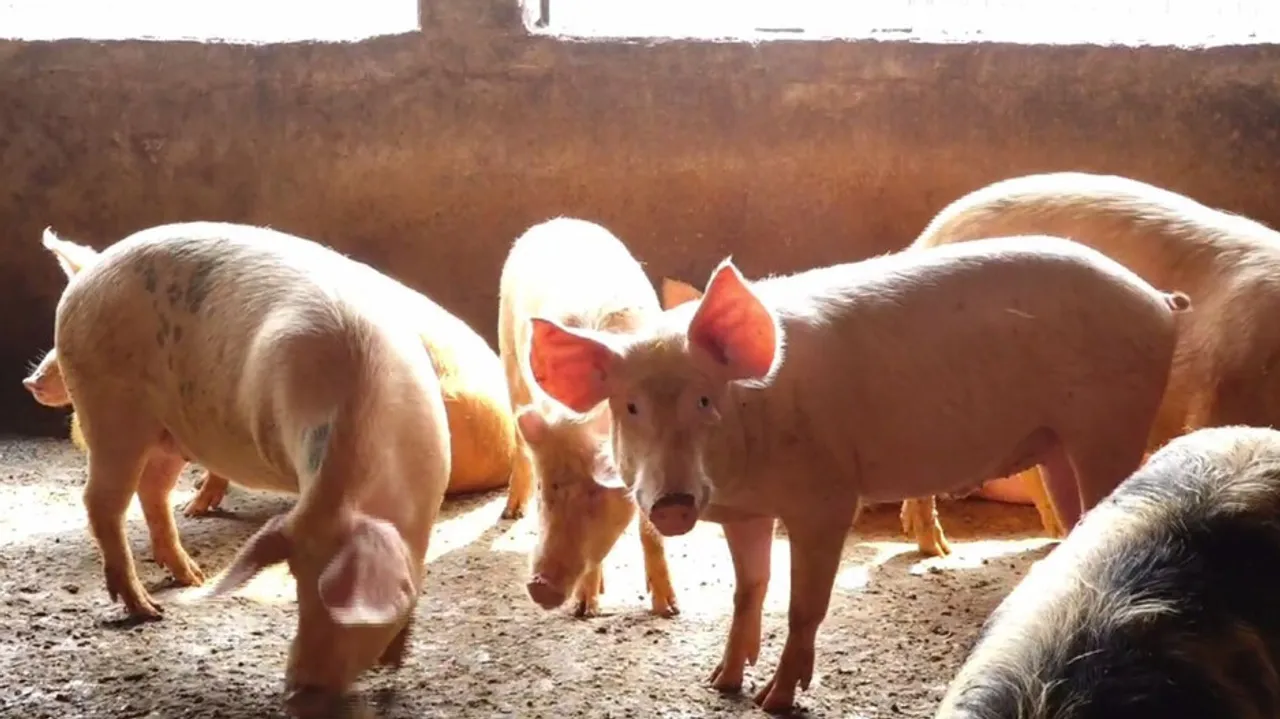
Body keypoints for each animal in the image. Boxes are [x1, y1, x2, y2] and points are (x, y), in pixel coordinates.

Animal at [53, 220, 452, 714]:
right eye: (298, 590)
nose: (296, 691)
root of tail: (85, 273)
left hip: (171, 433)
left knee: (153, 491)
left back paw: (192, 576)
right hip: (107, 408)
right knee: (101, 501)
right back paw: (147, 609)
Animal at [499, 217, 678, 617]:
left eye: (596, 494)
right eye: (544, 488)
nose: (538, 586)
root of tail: (556, 221)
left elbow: (650, 530)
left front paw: (669, 609)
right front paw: (585, 609)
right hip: (508, 355)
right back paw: (510, 514)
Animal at [528, 235, 1189, 712]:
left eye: (705, 401)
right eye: (630, 408)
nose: (670, 502)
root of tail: (1159, 301)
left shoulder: (826, 497)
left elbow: (804, 604)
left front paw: (773, 701)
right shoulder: (745, 512)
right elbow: (749, 591)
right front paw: (720, 683)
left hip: (1109, 422)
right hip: (1057, 446)